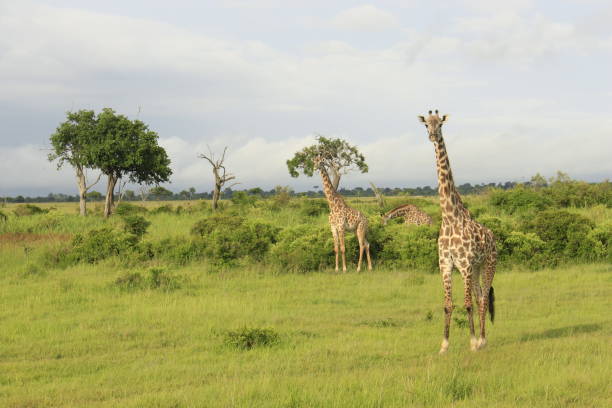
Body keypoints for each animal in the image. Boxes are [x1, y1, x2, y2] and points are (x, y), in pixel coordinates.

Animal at [416, 110, 498, 352]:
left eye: (440, 124)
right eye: (426, 125)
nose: (433, 136)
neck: (450, 217)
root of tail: (494, 237)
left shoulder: (465, 265)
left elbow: (467, 304)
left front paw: (472, 342)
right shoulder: (445, 265)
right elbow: (448, 305)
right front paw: (444, 345)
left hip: (488, 264)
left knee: (483, 297)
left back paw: (482, 339)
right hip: (477, 268)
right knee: (480, 296)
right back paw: (481, 338)